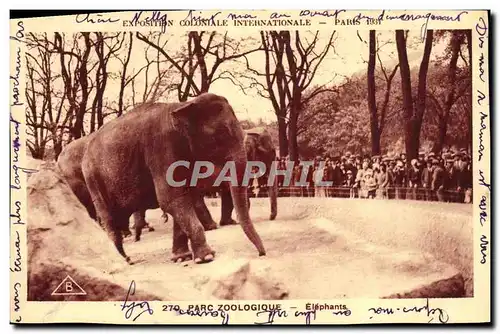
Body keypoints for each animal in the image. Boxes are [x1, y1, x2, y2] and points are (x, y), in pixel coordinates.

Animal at [79, 93, 266, 264]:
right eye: (217, 138)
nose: (261, 254)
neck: (183, 105)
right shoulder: (161, 148)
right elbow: (171, 198)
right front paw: (206, 257)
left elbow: (186, 197)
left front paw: (182, 257)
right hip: (93, 179)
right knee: (109, 218)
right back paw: (124, 260)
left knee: (119, 217)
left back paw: (126, 257)